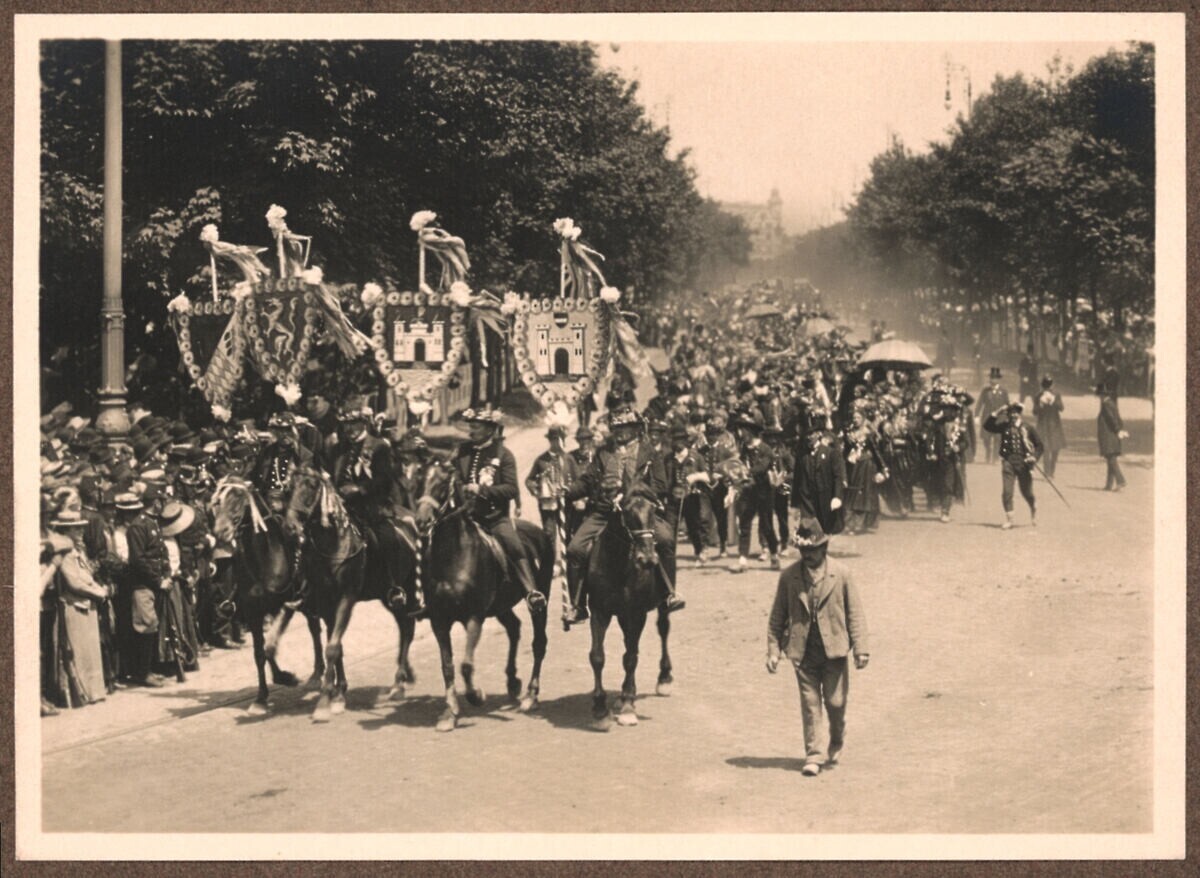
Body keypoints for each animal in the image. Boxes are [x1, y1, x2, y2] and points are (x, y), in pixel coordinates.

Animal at [208, 472, 324, 714]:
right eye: (217, 502)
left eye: (239, 499)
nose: (221, 532)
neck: (264, 559)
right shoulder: (254, 613)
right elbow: (260, 653)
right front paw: (262, 697)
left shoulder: (285, 605)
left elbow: (270, 647)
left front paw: (286, 677)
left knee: (315, 629)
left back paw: (318, 674)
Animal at [286, 465, 422, 719]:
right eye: (289, 487)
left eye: (311, 487)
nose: (289, 527)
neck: (334, 546)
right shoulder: (325, 604)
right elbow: (336, 645)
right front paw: (338, 692)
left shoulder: (346, 600)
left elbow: (332, 648)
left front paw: (325, 702)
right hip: (388, 597)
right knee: (404, 627)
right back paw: (401, 679)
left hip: (406, 588)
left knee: (408, 630)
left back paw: (399, 684)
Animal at [408, 460, 549, 734]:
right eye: (418, 481)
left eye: (443, 484)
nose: (421, 521)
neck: (453, 556)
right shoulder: (439, 620)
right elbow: (448, 666)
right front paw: (449, 713)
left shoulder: (474, 617)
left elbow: (466, 665)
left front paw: (476, 696)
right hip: (501, 606)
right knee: (514, 628)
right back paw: (513, 681)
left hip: (539, 601)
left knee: (539, 643)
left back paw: (530, 695)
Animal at [588, 496, 681, 729]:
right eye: (627, 516)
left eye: (653, 513)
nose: (647, 559)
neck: (618, 566)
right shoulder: (599, 611)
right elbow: (597, 657)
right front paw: (600, 710)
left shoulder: (636, 614)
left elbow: (631, 658)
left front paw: (629, 707)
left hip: (659, 607)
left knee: (663, 630)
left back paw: (663, 678)